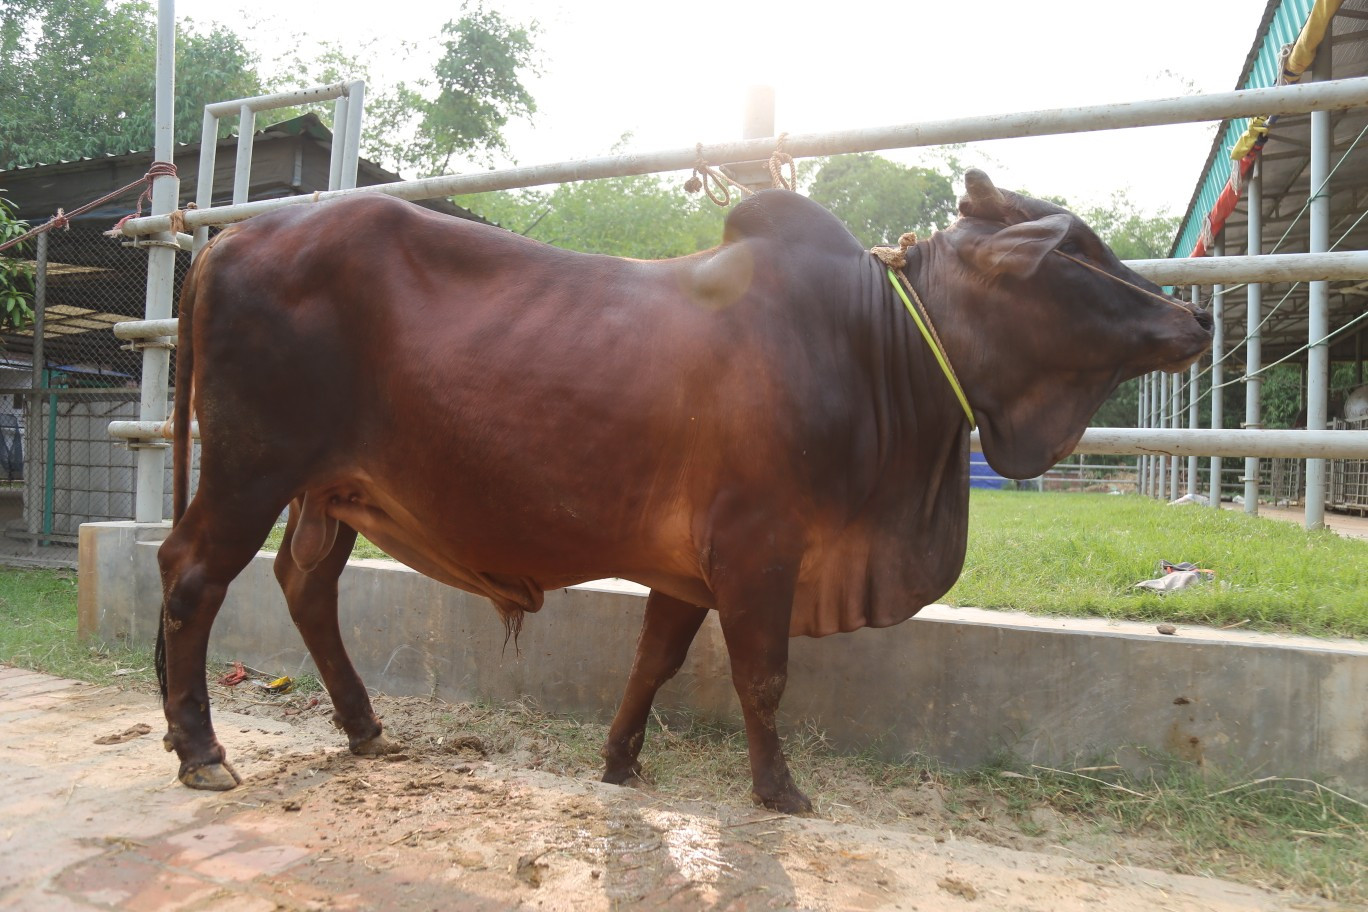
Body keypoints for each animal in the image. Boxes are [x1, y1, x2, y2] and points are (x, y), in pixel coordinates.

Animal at [155, 169, 1211, 814]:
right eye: (1075, 249)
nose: (1194, 316)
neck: (876, 345)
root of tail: (227, 243)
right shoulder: (758, 546)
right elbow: (762, 676)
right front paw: (779, 789)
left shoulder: (688, 565)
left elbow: (652, 662)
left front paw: (620, 760)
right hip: (252, 468)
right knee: (191, 576)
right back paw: (199, 748)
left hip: (326, 491)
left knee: (304, 586)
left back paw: (365, 727)